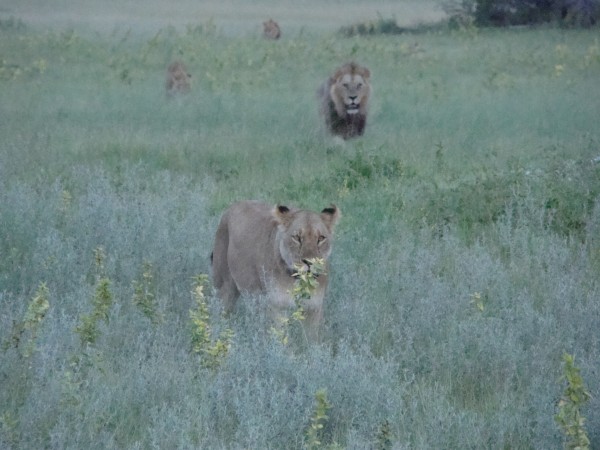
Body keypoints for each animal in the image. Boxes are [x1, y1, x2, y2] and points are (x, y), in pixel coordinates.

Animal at [213, 200, 340, 342]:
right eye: (297, 237)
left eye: (321, 238)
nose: (310, 262)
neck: (298, 281)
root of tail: (234, 205)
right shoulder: (276, 307)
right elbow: (279, 339)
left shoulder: (314, 309)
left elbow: (312, 341)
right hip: (224, 286)